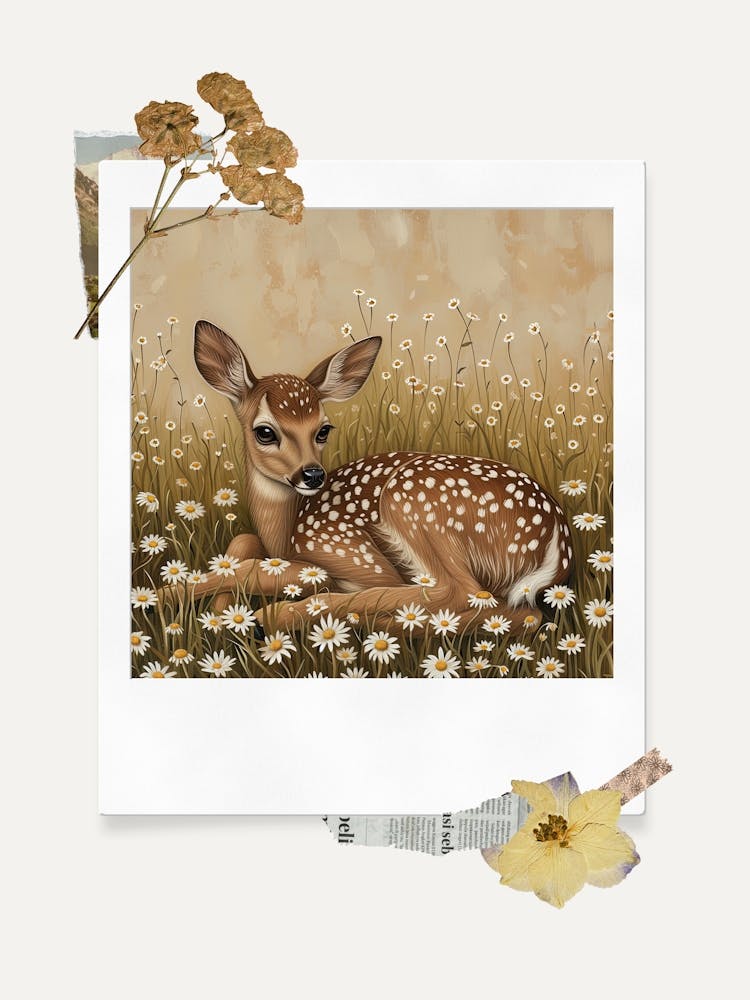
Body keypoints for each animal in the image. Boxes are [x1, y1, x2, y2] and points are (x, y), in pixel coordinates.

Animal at [181, 319, 573, 634]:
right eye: (264, 432)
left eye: (323, 430)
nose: (312, 474)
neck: (287, 527)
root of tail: (557, 541)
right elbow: (243, 544)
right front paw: (217, 614)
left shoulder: (350, 554)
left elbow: (258, 570)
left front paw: (174, 596)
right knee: (517, 612)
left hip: (413, 500)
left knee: (466, 594)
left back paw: (281, 617)